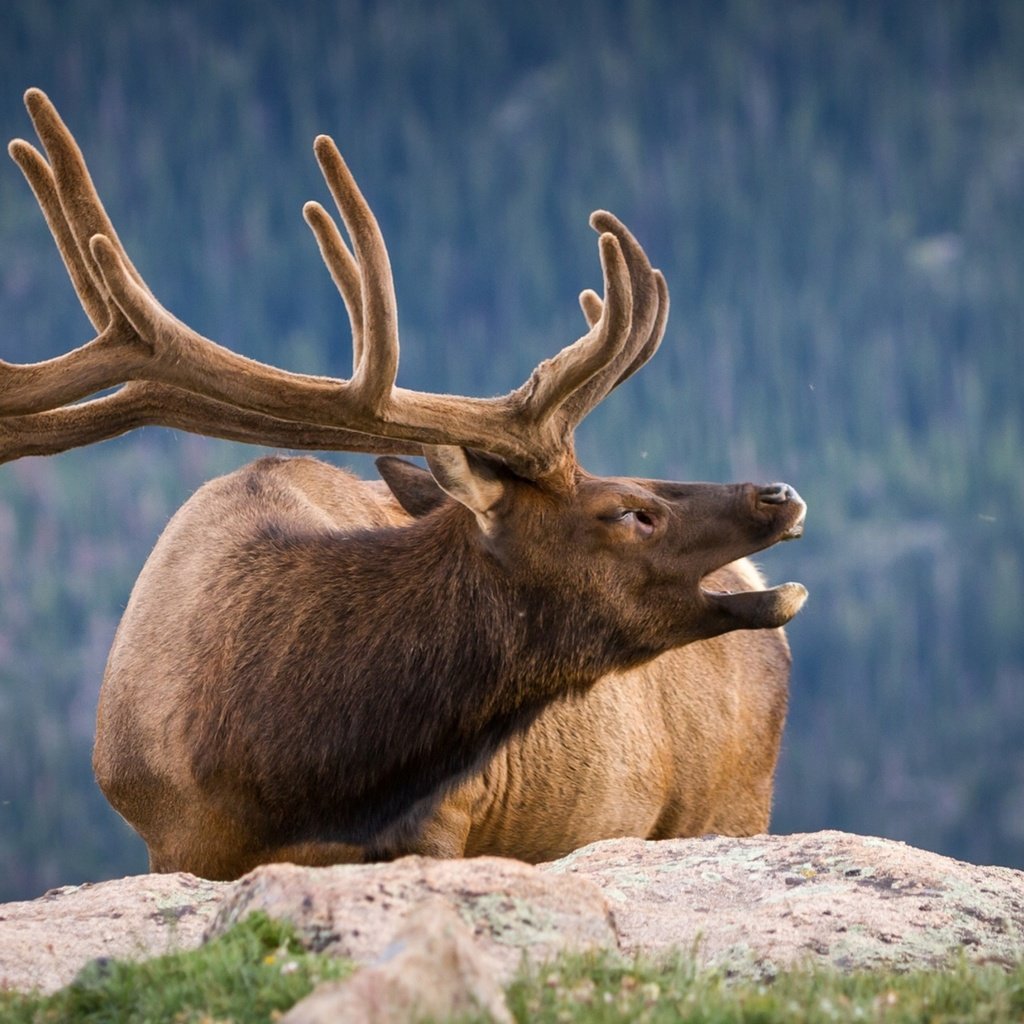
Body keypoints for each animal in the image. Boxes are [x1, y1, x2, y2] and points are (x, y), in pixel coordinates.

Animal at [2, 90, 806, 880]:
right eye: (629, 510)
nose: (780, 495)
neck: (282, 768)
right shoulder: (171, 843)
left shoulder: (446, 818)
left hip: (733, 803)